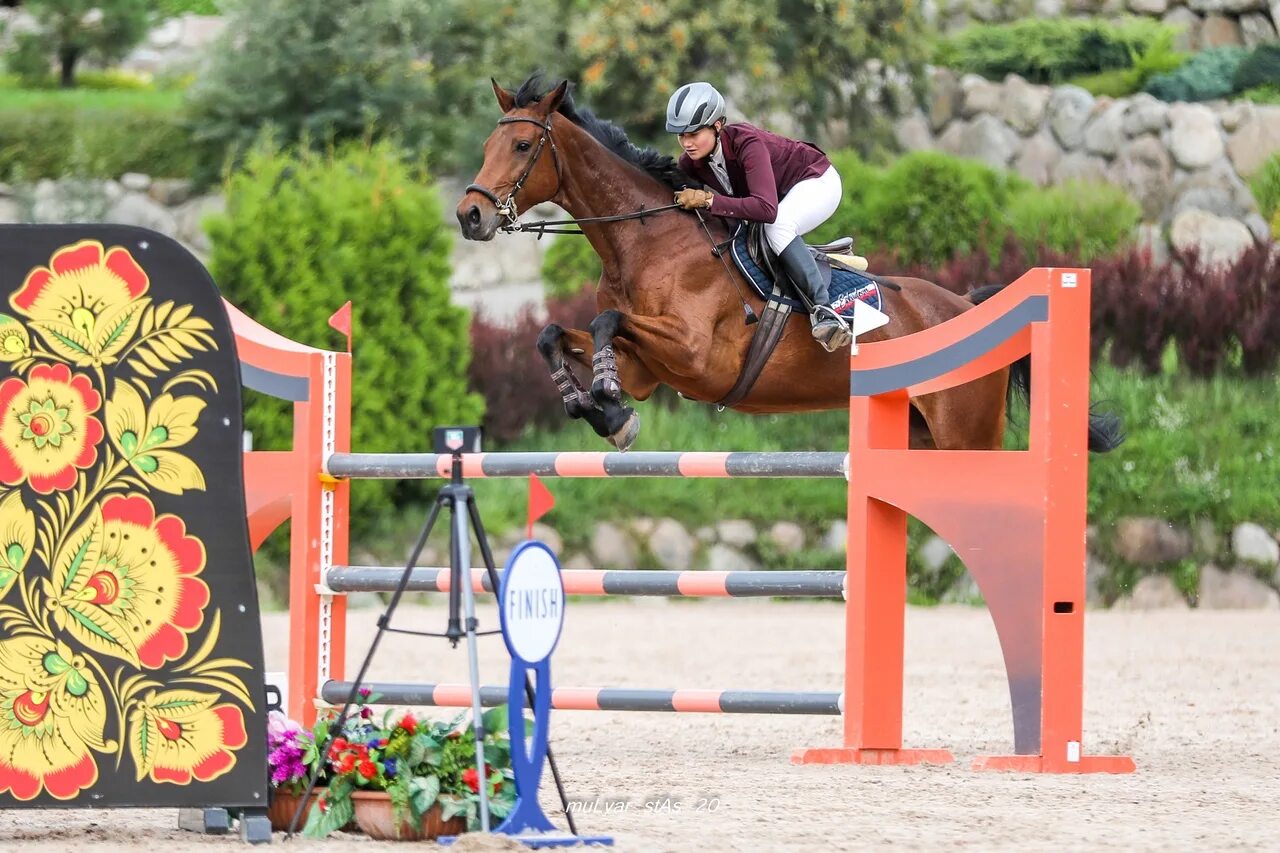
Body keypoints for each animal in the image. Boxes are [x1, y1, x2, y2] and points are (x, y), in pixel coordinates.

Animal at [455, 76, 1116, 455]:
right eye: (486, 145)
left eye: (522, 146)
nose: (469, 216)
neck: (644, 240)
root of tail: (971, 307)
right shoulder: (650, 367)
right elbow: (554, 334)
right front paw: (598, 409)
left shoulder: (695, 353)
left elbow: (604, 323)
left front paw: (607, 405)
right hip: (920, 435)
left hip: (966, 433)